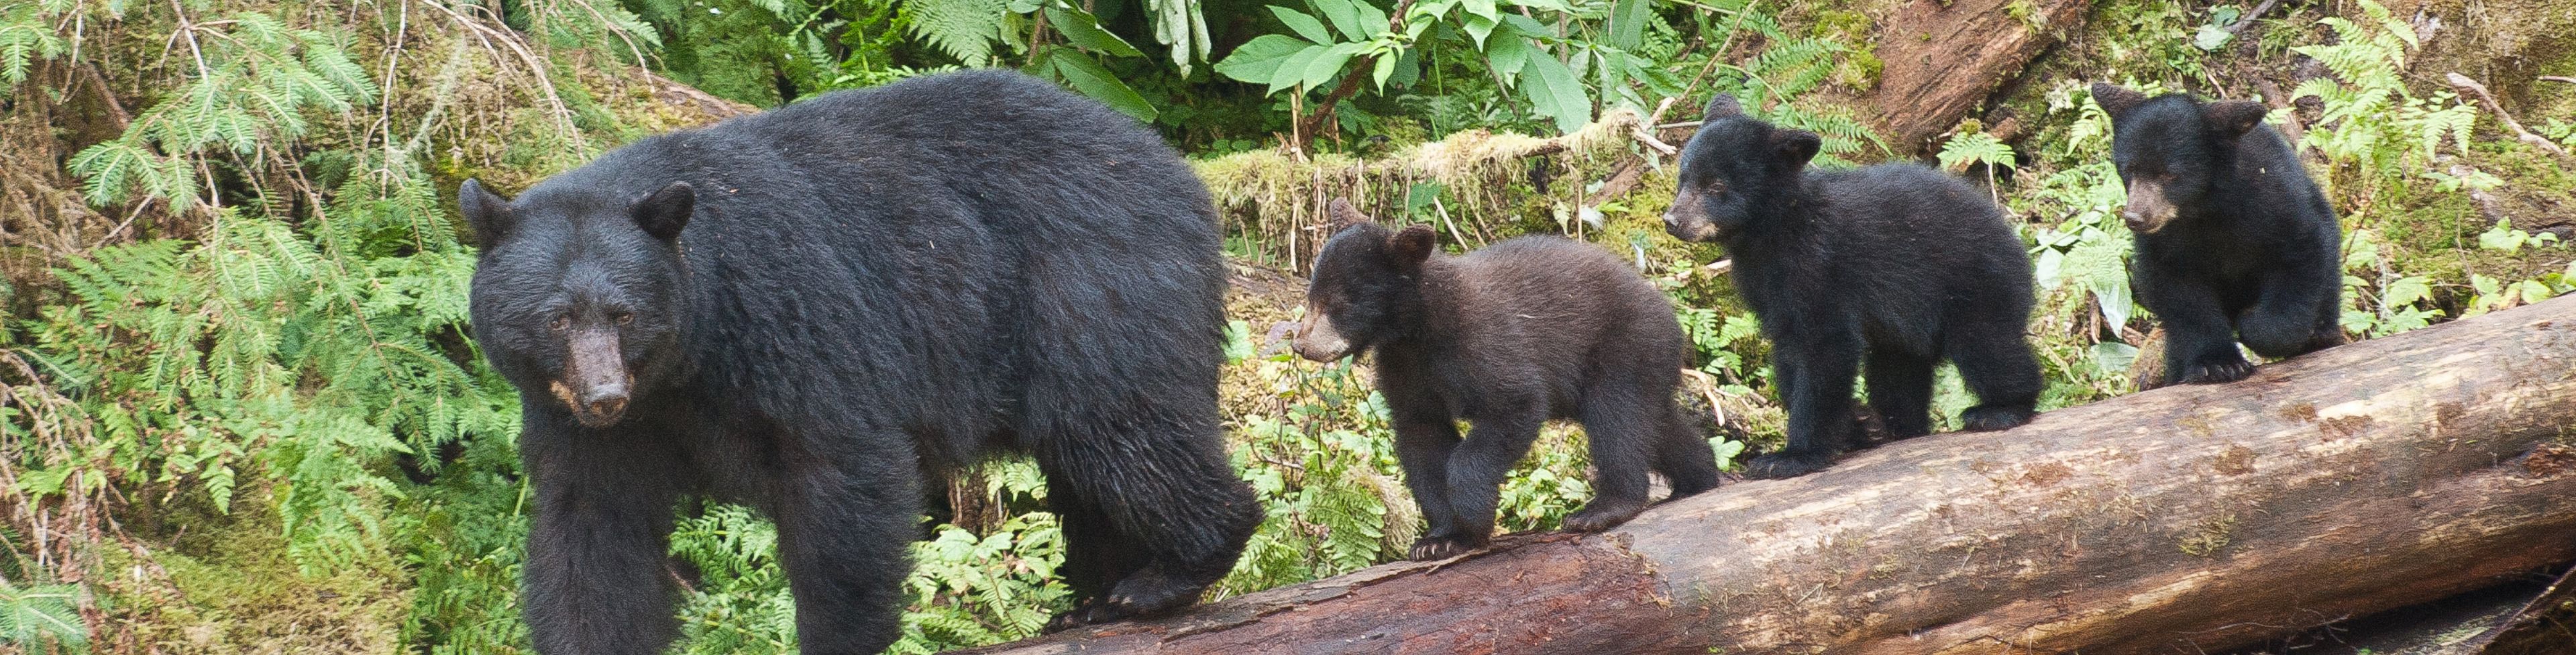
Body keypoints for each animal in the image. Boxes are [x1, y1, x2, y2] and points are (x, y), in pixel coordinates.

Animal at [458, 69, 1260, 655]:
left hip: (1091, 293)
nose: (603, 396)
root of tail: (1182, 178)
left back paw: (1169, 571)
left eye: (624, 314)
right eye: (557, 317)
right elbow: (594, 532)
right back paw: (1096, 598)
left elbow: (842, 474)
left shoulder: (790, 320)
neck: (683, 366)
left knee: (1123, 430)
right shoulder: (587, 425)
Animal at [1292, 199, 1722, 560]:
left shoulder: (1482, 344)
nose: (1301, 345)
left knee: (1617, 421)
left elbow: (1514, 405)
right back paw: (1698, 479)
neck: (1417, 329)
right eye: (1312, 294)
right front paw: (1440, 538)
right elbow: (1421, 437)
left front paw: (1473, 518)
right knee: (1655, 424)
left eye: (1340, 303)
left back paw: (1604, 509)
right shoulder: (1407, 370)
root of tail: (1669, 313)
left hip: (1623, 346)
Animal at [1661, 95, 2044, 480]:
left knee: (1987, 345)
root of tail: (2013, 239)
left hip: (1973, 282)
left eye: (1716, 186)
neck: (1774, 231)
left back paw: (1999, 409)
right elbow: (1787, 352)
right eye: (1684, 178)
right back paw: (1892, 427)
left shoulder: (1820, 268)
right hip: (1906, 331)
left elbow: (1825, 347)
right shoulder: (1768, 289)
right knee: (1898, 373)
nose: (1672, 221)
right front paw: (1856, 423)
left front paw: (1791, 456)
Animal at [2090, 83, 2344, 386]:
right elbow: (2179, 292)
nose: (2136, 217)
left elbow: (2300, 256)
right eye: (2129, 168)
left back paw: (2322, 335)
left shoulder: (2273, 202)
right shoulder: (2164, 242)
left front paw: (2256, 327)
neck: (2204, 209)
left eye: (2170, 174)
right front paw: (2219, 364)